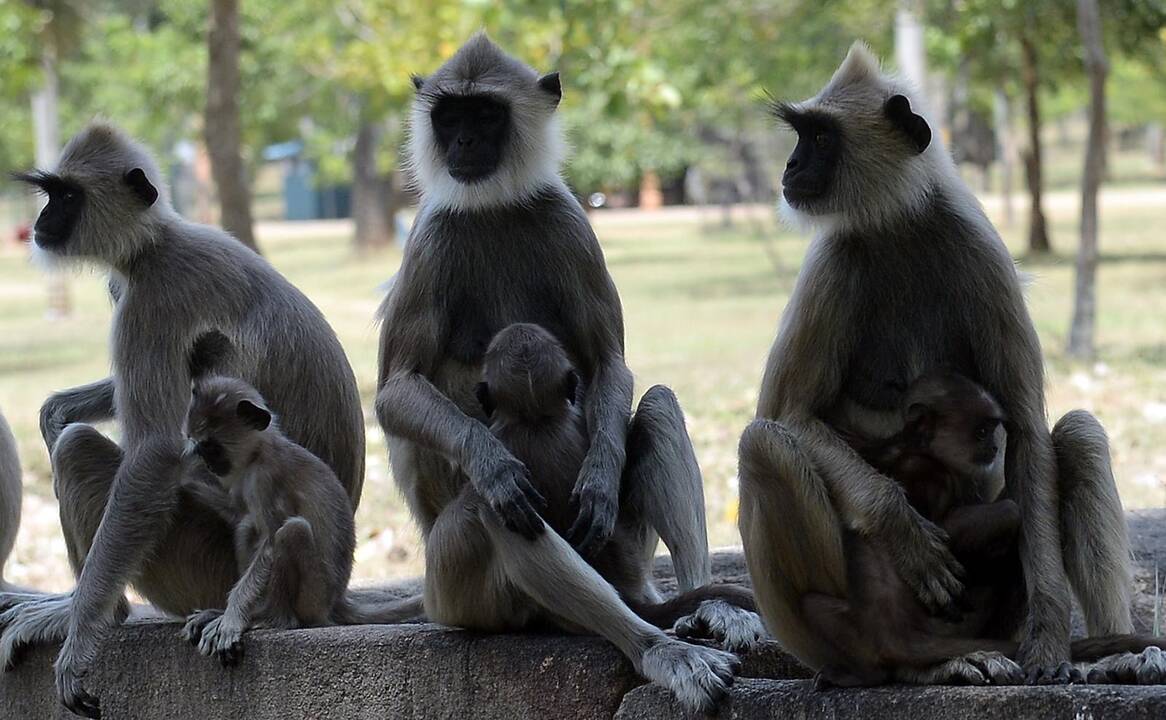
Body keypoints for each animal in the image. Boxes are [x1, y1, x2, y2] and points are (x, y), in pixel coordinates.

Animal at [179, 373, 422, 667]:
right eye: (198, 447)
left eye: (212, 448)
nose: (207, 464)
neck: (259, 452)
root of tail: (336, 601)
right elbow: (239, 515)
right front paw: (183, 482)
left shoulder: (266, 477)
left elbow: (270, 542)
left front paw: (233, 617)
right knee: (248, 526)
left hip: (314, 597)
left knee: (291, 531)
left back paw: (275, 619)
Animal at [373, 32, 764, 709]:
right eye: (449, 116)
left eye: (485, 116)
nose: (462, 144)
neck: (494, 207)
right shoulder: (429, 239)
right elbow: (395, 391)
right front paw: (494, 463)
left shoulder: (568, 221)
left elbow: (611, 360)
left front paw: (600, 481)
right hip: (457, 590)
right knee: (490, 510)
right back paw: (662, 651)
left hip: (626, 550)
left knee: (658, 403)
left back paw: (706, 610)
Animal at [736, 43, 1147, 686]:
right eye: (802, 136)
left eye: (821, 138)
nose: (791, 167)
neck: (899, 225)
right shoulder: (831, 262)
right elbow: (788, 414)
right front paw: (905, 534)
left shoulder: (984, 255)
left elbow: (1028, 430)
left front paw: (1050, 637)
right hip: (811, 627)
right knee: (765, 442)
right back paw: (899, 663)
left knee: (1077, 434)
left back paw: (1114, 656)